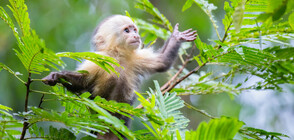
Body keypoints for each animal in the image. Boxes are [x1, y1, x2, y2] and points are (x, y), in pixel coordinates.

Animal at [42, 14, 198, 139]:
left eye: (134, 30)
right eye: (127, 31)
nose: (136, 36)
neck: (118, 56)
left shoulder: (135, 58)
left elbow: (162, 62)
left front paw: (176, 37)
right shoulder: (100, 59)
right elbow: (82, 82)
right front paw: (56, 76)